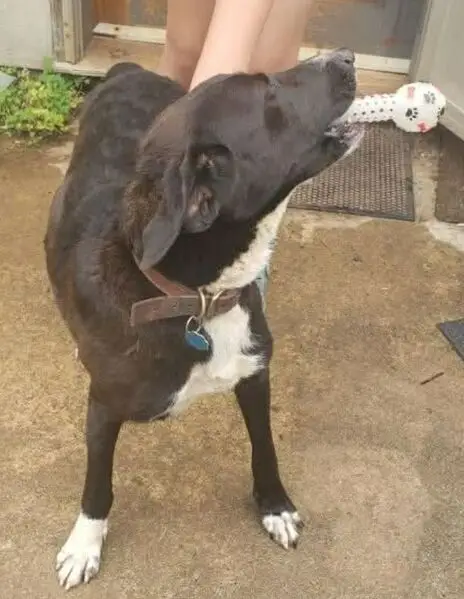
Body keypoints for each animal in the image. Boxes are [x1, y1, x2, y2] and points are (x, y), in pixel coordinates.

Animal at [45, 48, 362, 589]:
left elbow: (265, 446)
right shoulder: (103, 407)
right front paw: (84, 544)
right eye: (266, 90)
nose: (345, 56)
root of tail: (129, 68)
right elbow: (97, 484)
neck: (196, 299)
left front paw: (275, 507)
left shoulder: (255, 373)